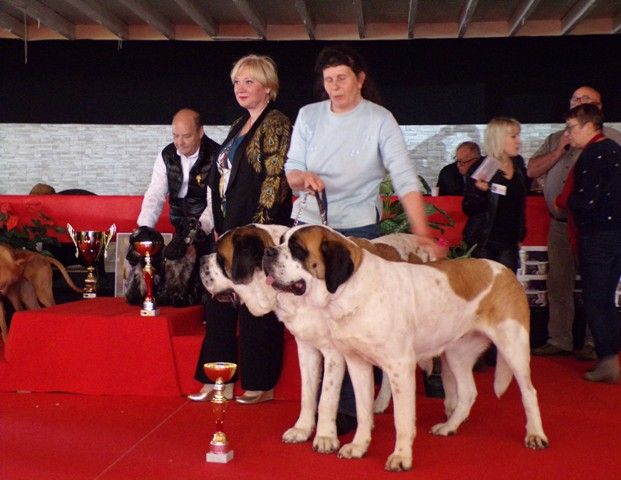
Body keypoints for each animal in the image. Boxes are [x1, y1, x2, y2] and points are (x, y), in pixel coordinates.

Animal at [200, 224, 436, 454]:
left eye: (220, 257)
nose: (201, 262)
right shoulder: (306, 348)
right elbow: (308, 393)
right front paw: (302, 429)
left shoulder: (335, 353)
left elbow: (326, 398)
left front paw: (325, 437)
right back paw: (379, 404)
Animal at [262, 224, 548, 471]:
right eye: (281, 241)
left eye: (297, 249)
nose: (269, 252)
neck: (351, 290)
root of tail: (507, 271)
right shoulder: (357, 363)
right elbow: (362, 410)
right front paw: (358, 446)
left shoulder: (399, 366)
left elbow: (400, 418)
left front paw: (401, 457)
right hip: (457, 352)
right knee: (468, 392)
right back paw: (449, 426)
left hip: (513, 345)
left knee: (529, 392)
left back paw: (535, 434)